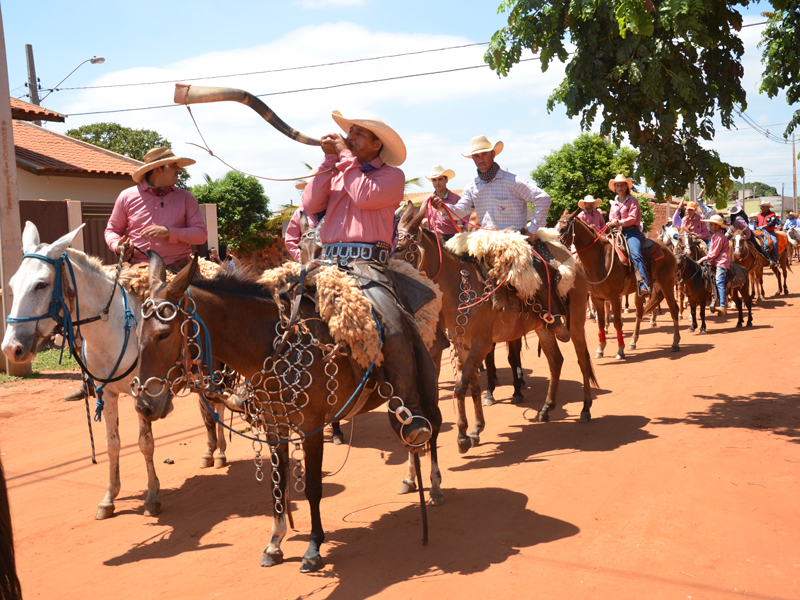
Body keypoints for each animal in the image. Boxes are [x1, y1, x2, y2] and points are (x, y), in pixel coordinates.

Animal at [3, 225, 227, 520]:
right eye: (12, 284)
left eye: (41, 284)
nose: (11, 348)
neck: (113, 331)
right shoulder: (107, 392)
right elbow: (112, 444)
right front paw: (109, 499)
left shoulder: (144, 393)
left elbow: (145, 443)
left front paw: (152, 497)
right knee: (207, 410)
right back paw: (209, 453)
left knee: (217, 406)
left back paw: (221, 453)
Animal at [133, 252, 444, 572]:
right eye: (135, 331)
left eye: (163, 334)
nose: (144, 404)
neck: (273, 346)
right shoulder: (274, 427)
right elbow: (278, 486)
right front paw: (275, 543)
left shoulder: (312, 429)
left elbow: (313, 488)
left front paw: (313, 548)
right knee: (409, 438)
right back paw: (410, 479)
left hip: (429, 372)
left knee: (431, 428)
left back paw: (433, 487)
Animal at [396, 204, 596, 452]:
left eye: (400, 247)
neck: (461, 286)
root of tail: (574, 262)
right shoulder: (463, 346)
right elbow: (472, 385)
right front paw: (474, 429)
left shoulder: (482, 345)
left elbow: (460, 386)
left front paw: (462, 437)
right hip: (543, 327)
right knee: (555, 361)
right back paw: (546, 409)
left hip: (576, 321)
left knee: (582, 360)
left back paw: (585, 408)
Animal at [556, 210, 680, 360]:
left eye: (563, 228)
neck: (600, 258)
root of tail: (668, 250)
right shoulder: (597, 298)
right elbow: (601, 323)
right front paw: (600, 349)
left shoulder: (614, 297)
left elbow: (617, 323)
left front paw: (620, 350)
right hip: (640, 291)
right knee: (639, 313)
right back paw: (633, 342)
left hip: (667, 284)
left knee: (674, 309)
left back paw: (675, 342)